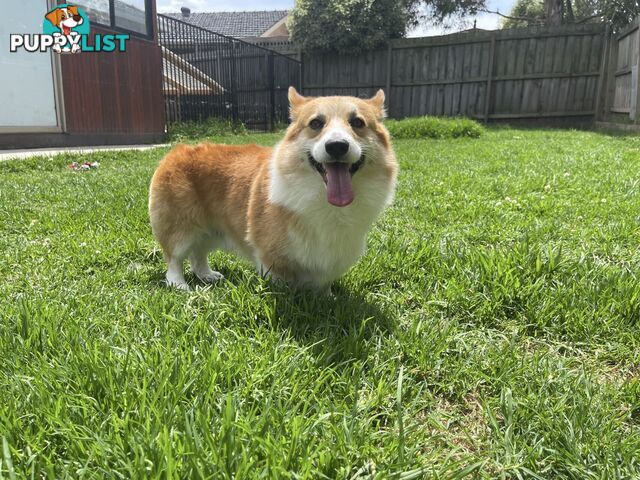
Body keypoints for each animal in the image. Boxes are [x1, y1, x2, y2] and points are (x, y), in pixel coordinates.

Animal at [150, 87, 398, 290]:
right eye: (316, 123)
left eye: (358, 123)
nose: (336, 146)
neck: (325, 201)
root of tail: (176, 151)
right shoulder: (271, 257)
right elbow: (282, 283)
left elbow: (322, 286)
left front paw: (326, 298)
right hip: (181, 228)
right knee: (174, 258)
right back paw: (179, 285)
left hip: (210, 229)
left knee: (198, 255)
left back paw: (207, 275)